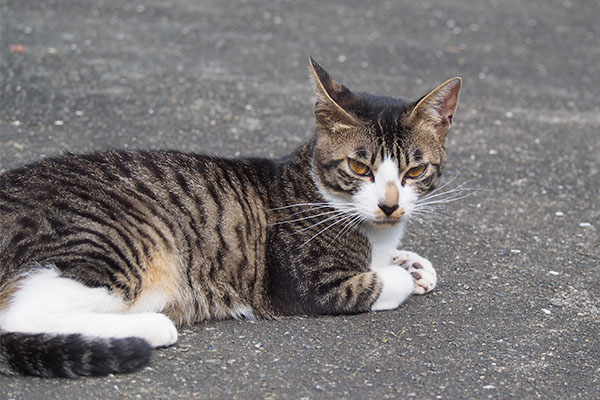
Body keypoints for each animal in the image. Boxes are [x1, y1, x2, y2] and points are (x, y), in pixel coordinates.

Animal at [0, 57, 462, 376]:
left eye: (415, 171)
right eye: (360, 167)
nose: (389, 205)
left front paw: (414, 263)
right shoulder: (308, 285)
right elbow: (380, 282)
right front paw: (400, 272)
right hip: (110, 243)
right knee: (22, 315)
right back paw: (149, 328)